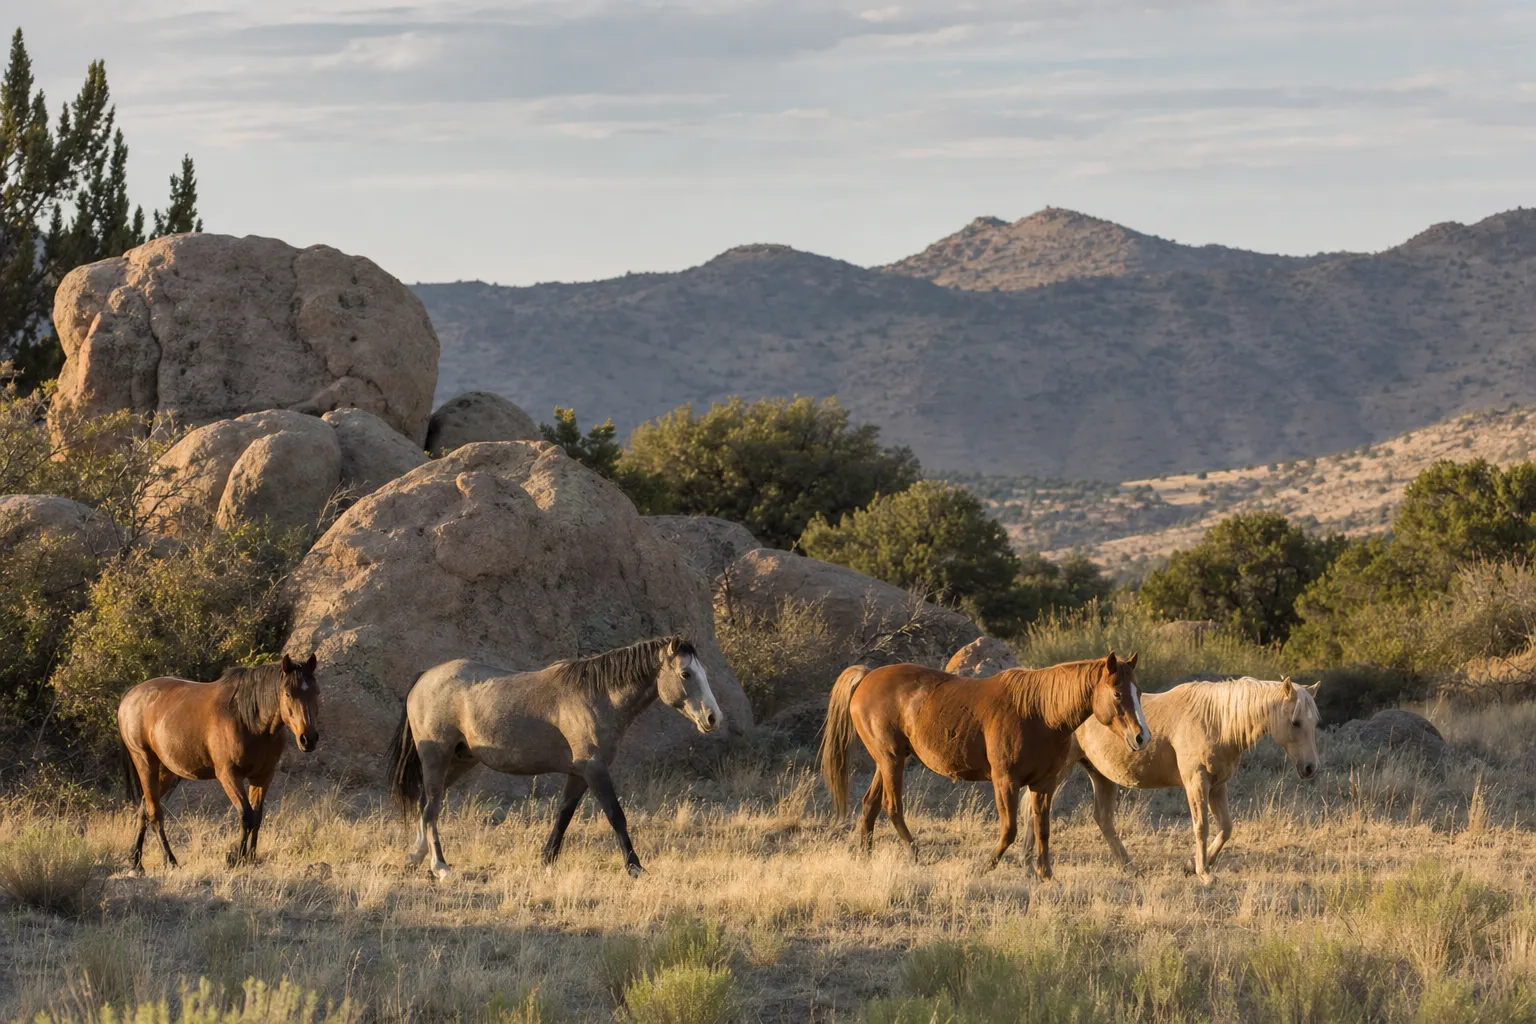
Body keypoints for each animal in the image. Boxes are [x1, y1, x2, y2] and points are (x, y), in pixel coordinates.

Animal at [118, 654, 321, 871]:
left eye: (316, 692)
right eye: (288, 693)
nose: (308, 739)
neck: (249, 720)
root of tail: (131, 695)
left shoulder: (262, 776)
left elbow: (257, 817)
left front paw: (251, 858)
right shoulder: (229, 776)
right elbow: (246, 817)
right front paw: (237, 858)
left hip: (165, 771)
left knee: (144, 809)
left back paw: (136, 861)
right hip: (145, 763)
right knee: (155, 814)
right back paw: (169, 860)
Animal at [387, 635, 723, 881]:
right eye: (686, 673)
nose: (713, 717)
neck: (595, 696)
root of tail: (425, 677)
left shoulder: (579, 774)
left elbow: (563, 815)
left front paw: (546, 859)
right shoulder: (595, 770)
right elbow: (616, 815)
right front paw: (635, 867)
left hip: (459, 761)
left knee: (426, 805)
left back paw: (417, 855)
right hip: (436, 757)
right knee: (431, 807)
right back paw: (440, 866)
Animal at [820, 652, 1149, 880]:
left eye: (1139, 692)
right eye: (1117, 693)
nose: (1141, 736)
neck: (1038, 712)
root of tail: (867, 676)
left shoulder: (1043, 783)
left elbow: (1042, 829)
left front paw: (1046, 876)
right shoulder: (1005, 781)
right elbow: (1010, 830)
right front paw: (982, 868)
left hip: (890, 760)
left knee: (870, 805)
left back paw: (865, 858)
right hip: (891, 761)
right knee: (893, 808)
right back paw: (915, 855)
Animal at [1042, 675, 1321, 882]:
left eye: (1314, 722)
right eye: (1295, 722)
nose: (1310, 768)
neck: (1217, 721)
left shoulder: (1218, 785)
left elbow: (1226, 827)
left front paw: (1192, 865)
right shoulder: (1196, 782)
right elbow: (1201, 826)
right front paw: (1204, 873)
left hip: (1100, 775)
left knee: (1103, 819)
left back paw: (1129, 867)